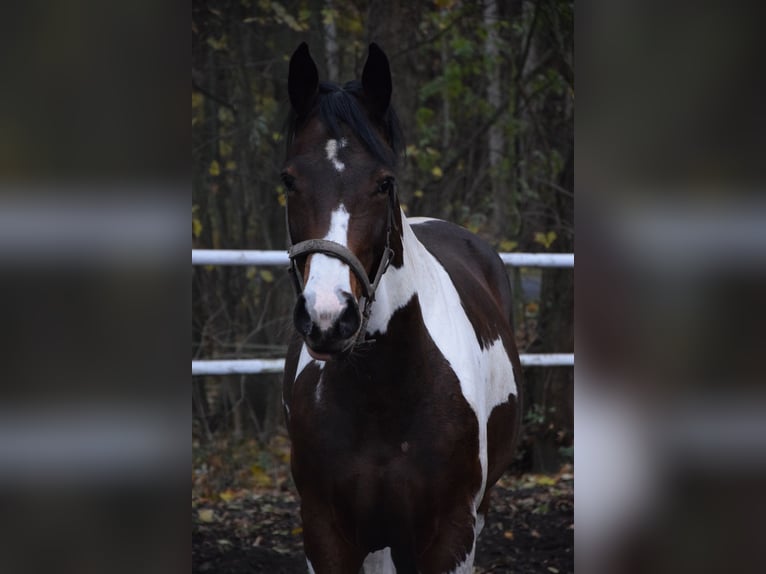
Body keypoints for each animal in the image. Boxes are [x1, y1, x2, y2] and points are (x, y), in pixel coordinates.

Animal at [284, 42, 524, 572]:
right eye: (288, 181)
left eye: (384, 182)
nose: (329, 317)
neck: (383, 394)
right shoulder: (324, 533)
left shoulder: (453, 533)